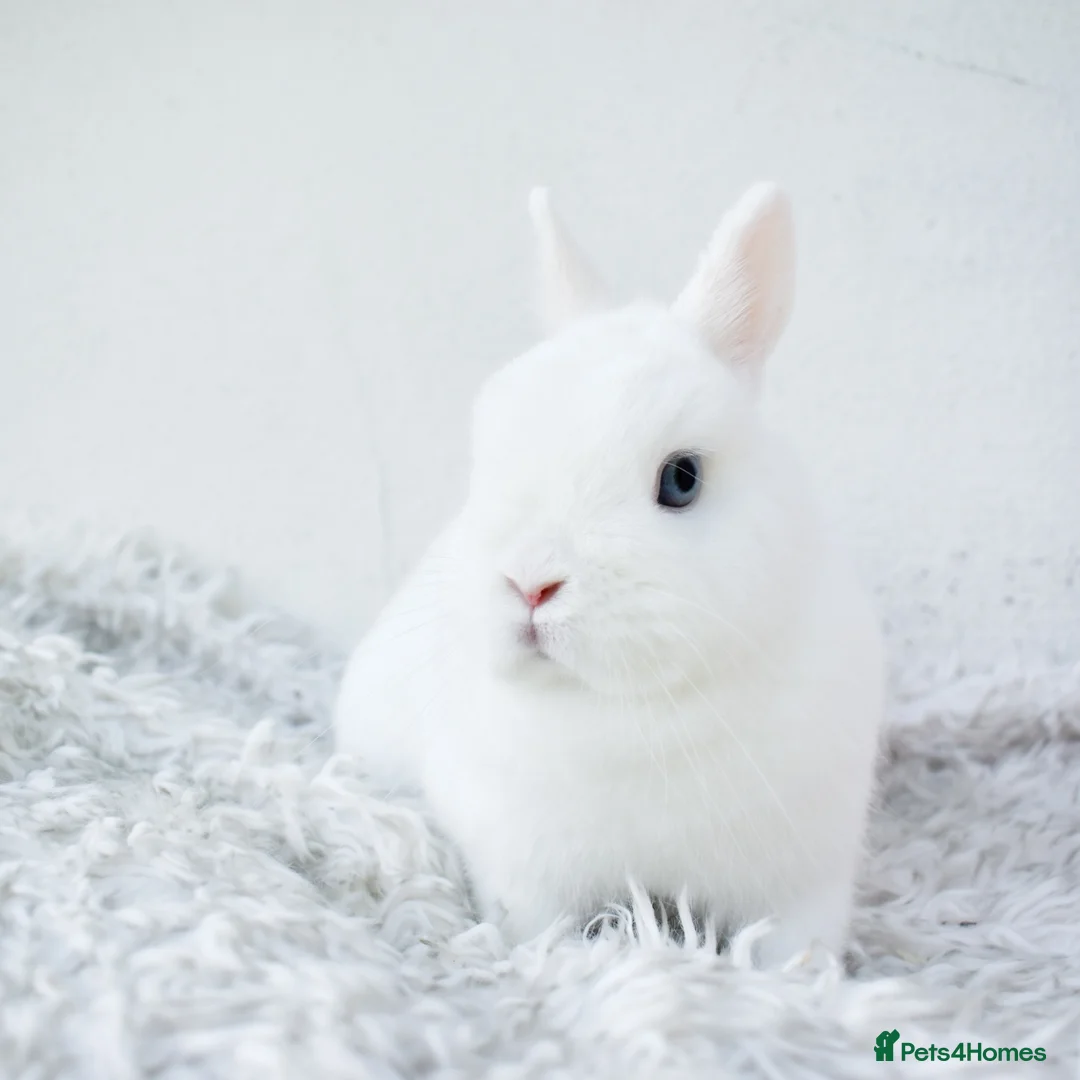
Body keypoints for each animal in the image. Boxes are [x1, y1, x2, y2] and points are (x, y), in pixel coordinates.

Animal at [334, 182, 884, 967]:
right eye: (488, 457)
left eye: (682, 479)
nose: (529, 584)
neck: (635, 711)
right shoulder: (525, 876)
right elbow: (538, 934)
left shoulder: (804, 881)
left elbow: (791, 954)